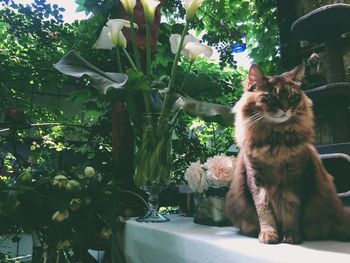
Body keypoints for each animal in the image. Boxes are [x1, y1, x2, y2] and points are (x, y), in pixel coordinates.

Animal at [224, 64, 350, 245]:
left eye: (293, 97)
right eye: (271, 97)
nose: (285, 108)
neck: (276, 143)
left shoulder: (295, 177)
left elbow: (291, 210)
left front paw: (291, 235)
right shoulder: (256, 178)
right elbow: (264, 210)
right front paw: (268, 234)